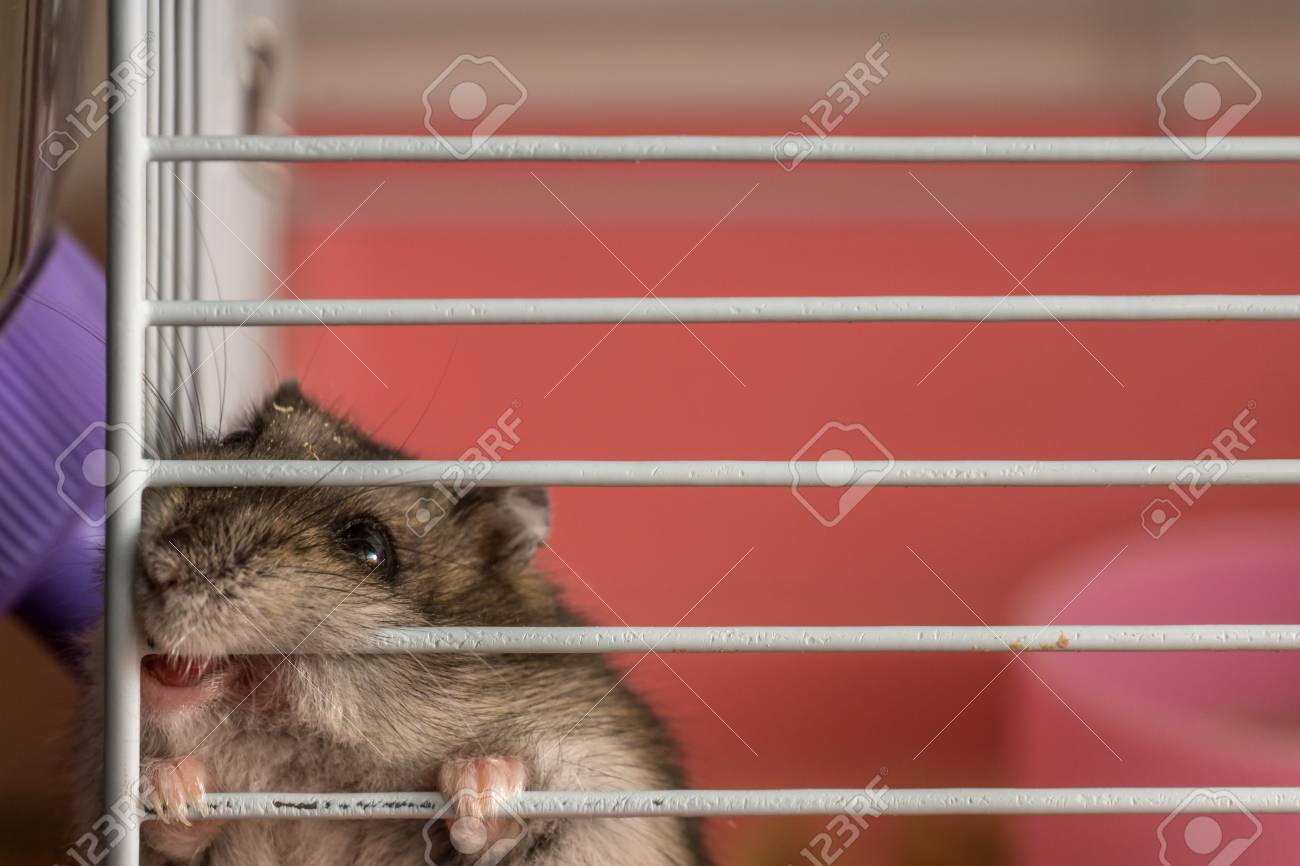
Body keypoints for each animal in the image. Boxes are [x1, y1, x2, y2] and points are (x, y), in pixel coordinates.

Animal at [80, 380, 708, 866]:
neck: (309, 771)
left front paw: (481, 783)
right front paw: (172, 787)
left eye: (368, 547)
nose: (159, 566)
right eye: (237, 441)